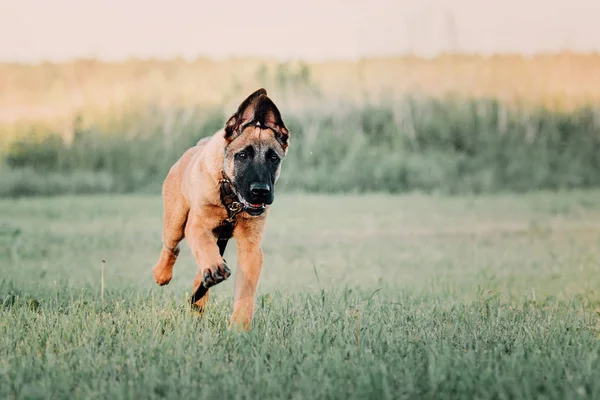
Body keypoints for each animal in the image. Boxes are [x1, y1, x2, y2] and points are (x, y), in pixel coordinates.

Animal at [151, 89, 290, 330]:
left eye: (273, 158)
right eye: (242, 156)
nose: (260, 191)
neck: (231, 201)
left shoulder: (251, 250)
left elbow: (245, 293)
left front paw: (239, 328)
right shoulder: (197, 226)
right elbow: (205, 246)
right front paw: (214, 266)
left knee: (198, 276)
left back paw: (199, 301)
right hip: (175, 222)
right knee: (171, 247)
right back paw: (162, 274)